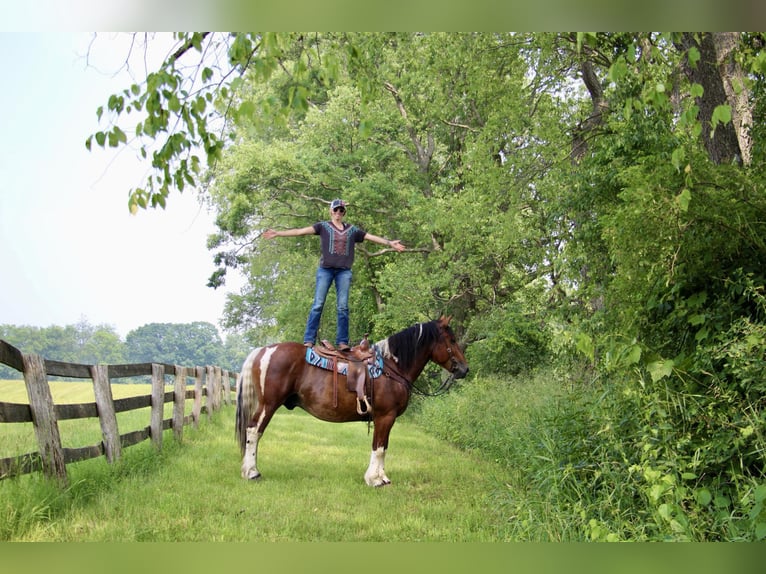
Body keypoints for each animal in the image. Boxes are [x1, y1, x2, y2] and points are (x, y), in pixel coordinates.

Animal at [237, 318, 472, 488]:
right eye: (451, 340)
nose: (464, 368)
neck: (392, 367)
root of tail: (264, 350)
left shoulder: (386, 419)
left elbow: (384, 446)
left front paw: (382, 477)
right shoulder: (385, 416)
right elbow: (379, 447)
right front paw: (374, 480)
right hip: (268, 404)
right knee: (253, 431)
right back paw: (252, 472)